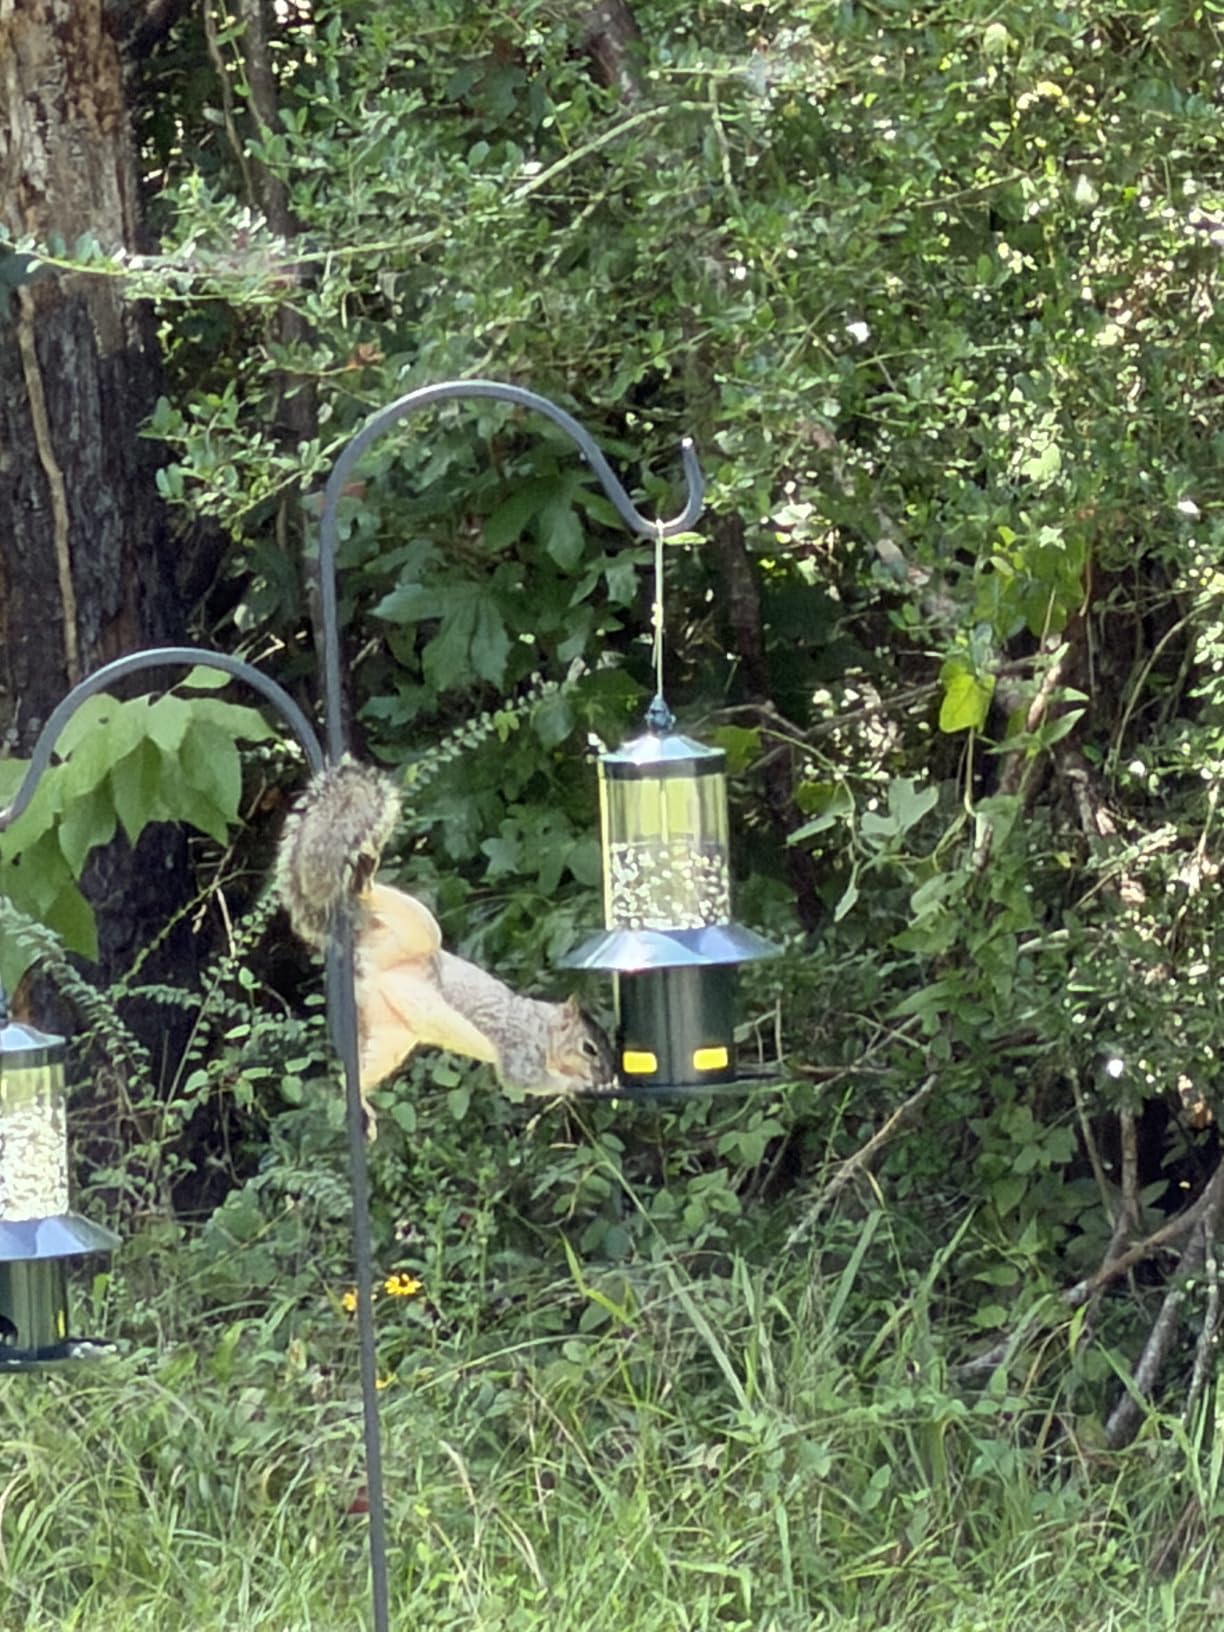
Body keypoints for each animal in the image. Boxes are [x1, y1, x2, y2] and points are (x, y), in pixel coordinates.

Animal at [276, 758, 616, 1127]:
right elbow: (522, 1078)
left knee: (355, 1073)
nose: (607, 1075)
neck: (544, 1030)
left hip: (391, 1034)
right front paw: (581, 1084)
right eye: (588, 1048)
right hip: (419, 932)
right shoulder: (519, 1049)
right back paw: (364, 884)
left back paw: (362, 1101)